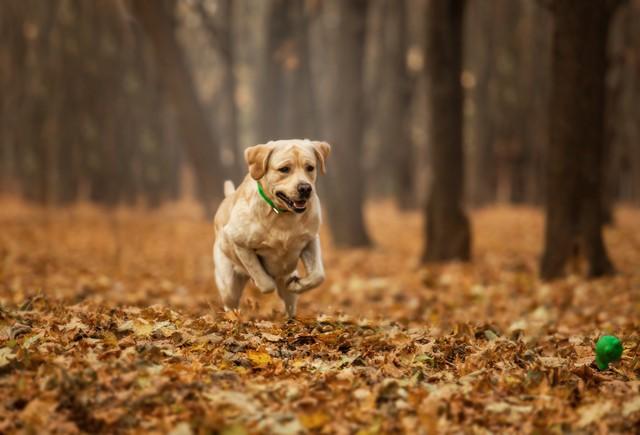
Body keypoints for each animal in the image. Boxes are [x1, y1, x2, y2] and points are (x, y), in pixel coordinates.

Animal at [212, 140, 330, 316]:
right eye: (284, 169)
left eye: (310, 167)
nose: (305, 188)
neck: (281, 215)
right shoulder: (239, 242)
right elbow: (264, 281)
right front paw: (261, 281)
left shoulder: (310, 240)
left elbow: (318, 275)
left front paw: (297, 285)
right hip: (228, 285)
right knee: (230, 303)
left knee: (290, 303)